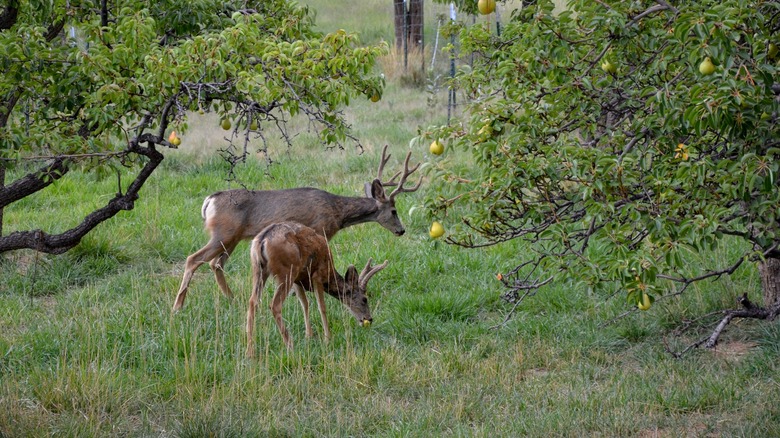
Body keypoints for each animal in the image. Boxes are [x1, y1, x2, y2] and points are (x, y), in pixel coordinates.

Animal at [168, 145, 418, 310]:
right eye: (394, 211)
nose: (402, 230)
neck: (337, 211)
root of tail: (209, 201)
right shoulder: (321, 229)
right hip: (223, 233)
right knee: (194, 259)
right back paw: (178, 306)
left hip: (232, 238)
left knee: (215, 263)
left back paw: (232, 299)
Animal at [247, 222, 386, 356]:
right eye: (364, 299)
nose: (369, 319)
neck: (329, 275)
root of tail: (263, 240)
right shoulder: (317, 275)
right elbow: (321, 307)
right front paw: (327, 338)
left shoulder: (298, 281)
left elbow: (305, 304)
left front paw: (309, 336)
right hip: (286, 271)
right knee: (274, 305)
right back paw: (290, 345)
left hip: (259, 269)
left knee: (253, 301)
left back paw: (250, 351)